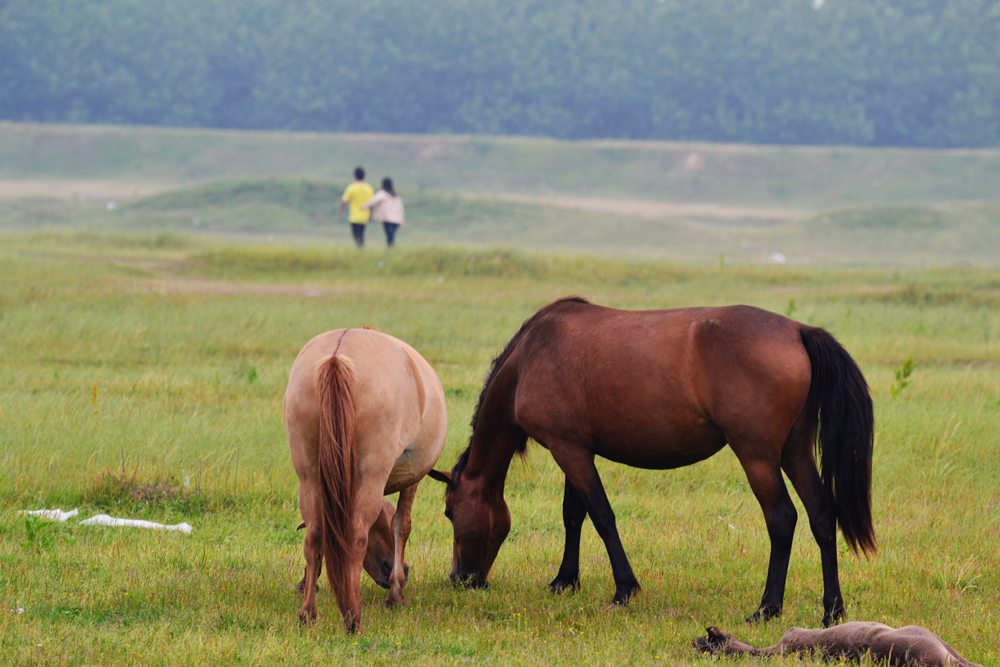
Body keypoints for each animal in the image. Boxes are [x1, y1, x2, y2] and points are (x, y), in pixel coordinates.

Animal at [288, 330, 448, 636]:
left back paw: (308, 614)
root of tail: (337, 356)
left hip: (309, 476)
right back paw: (353, 618)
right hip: (371, 476)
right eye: (380, 524)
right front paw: (396, 593)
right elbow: (402, 525)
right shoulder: (412, 478)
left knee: (314, 535)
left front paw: (306, 583)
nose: (404, 570)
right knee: (355, 536)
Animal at [430, 298, 876, 628]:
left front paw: (624, 589)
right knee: (822, 515)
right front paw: (565, 580)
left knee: (782, 518)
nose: (460, 579)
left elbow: (601, 515)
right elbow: (573, 514)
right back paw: (832, 611)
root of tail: (798, 330)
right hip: (794, 451)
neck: (529, 358)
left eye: (450, 512)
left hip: (757, 455)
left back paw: (767, 608)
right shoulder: (573, 447)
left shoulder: (569, 450)